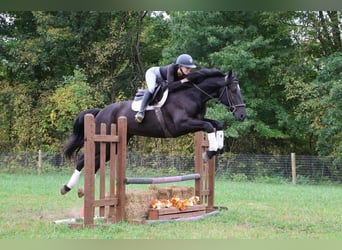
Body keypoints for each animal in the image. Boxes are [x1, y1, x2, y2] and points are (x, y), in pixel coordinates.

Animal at [60, 68, 244, 195]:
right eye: (233, 90)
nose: (242, 115)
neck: (191, 95)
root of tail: (100, 112)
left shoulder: (197, 120)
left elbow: (217, 124)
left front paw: (218, 147)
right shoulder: (181, 125)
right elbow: (208, 126)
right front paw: (210, 152)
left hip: (114, 144)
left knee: (95, 162)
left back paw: (83, 189)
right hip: (102, 140)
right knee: (83, 159)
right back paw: (67, 187)